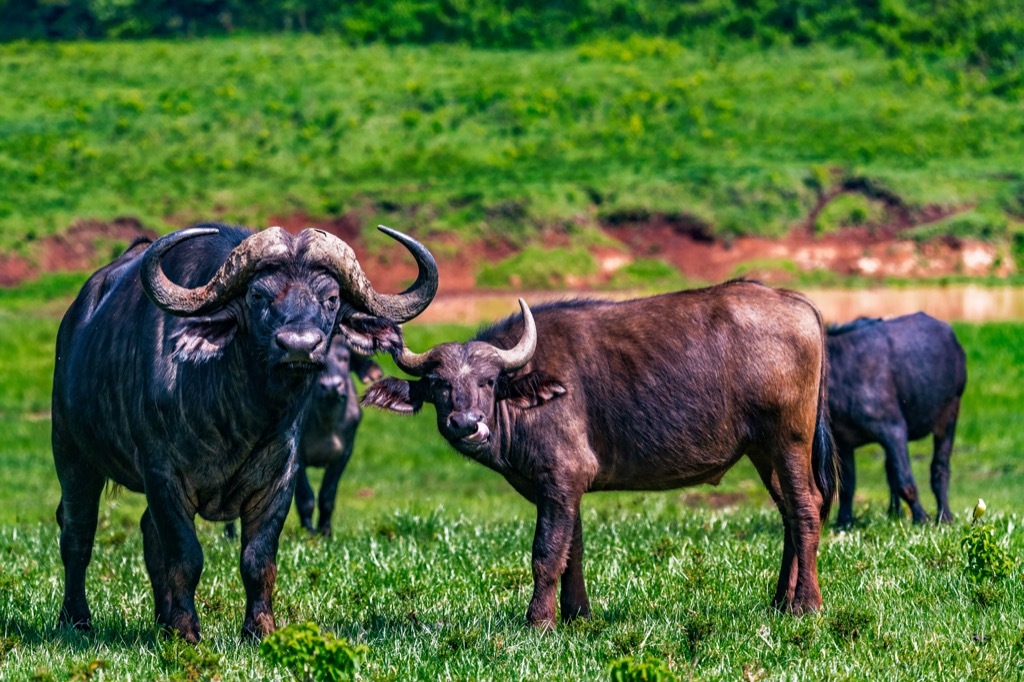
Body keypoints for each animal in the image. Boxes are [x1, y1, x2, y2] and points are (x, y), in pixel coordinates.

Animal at [52, 223, 437, 642]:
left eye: (331, 298)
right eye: (258, 295)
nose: (299, 346)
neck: (237, 415)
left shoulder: (281, 476)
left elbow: (258, 558)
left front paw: (259, 629)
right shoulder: (161, 474)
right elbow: (186, 554)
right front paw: (187, 631)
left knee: (148, 535)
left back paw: (161, 618)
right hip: (72, 454)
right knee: (77, 532)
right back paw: (77, 618)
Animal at [364, 281, 838, 626]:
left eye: (488, 380)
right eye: (440, 384)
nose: (466, 424)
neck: (525, 395)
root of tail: (797, 303)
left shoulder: (560, 479)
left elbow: (546, 553)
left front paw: (539, 622)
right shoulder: (563, 488)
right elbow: (572, 549)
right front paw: (577, 616)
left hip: (790, 440)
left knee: (805, 510)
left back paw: (806, 605)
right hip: (762, 451)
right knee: (789, 514)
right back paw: (779, 601)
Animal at [827, 313, 967, 526]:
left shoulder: (894, 430)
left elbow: (905, 481)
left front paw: (921, 517)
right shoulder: (843, 441)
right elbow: (847, 486)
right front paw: (844, 522)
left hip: (950, 414)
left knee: (940, 467)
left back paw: (944, 516)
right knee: (890, 470)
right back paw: (895, 513)